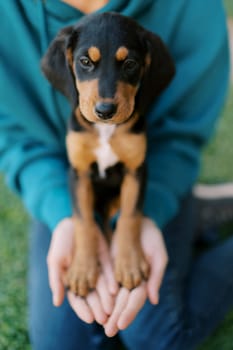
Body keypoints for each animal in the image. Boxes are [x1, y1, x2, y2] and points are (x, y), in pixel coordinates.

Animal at [41, 12, 175, 296]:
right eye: (84, 62)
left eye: (130, 64)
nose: (105, 110)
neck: (105, 131)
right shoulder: (78, 172)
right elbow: (83, 222)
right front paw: (82, 270)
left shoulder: (137, 170)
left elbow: (130, 216)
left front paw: (129, 263)